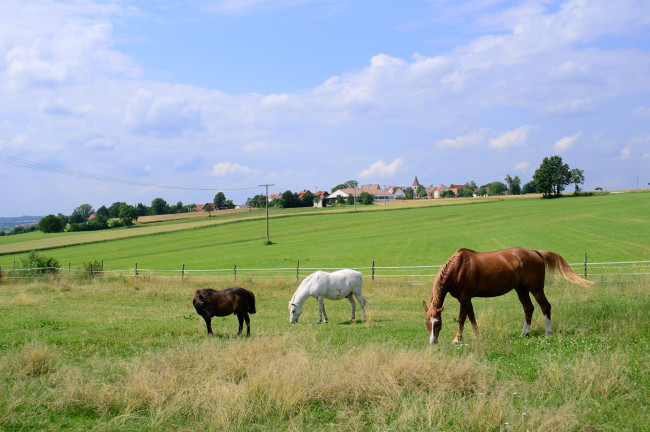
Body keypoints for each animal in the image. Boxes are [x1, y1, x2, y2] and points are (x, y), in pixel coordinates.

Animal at [422, 248, 588, 346]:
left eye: (438, 323)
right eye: (427, 323)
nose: (432, 342)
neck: (458, 267)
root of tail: (536, 252)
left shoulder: (464, 296)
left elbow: (462, 317)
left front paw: (457, 338)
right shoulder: (466, 298)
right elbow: (471, 316)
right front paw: (477, 336)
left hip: (536, 288)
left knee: (545, 306)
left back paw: (548, 333)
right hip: (521, 289)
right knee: (528, 308)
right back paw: (523, 334)